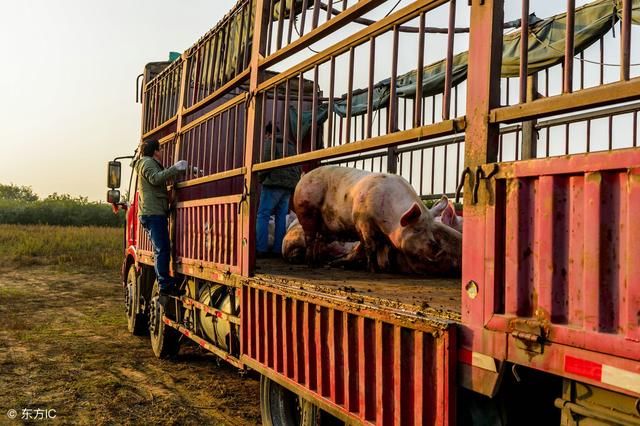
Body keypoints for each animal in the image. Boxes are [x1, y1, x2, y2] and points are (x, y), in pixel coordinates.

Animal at [292, 166, 462, 276]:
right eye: (417, 229)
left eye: (431, 229)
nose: (437, 249)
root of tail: (303, 178)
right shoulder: (364, 222)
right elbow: (370, 246)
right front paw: (373, 270)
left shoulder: (385, 235)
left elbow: (383, 249)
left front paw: (385, 269)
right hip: (306, 211)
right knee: (310, 237)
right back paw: (311, 263)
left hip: (321, 224)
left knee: (318, 240)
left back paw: (318, 262)